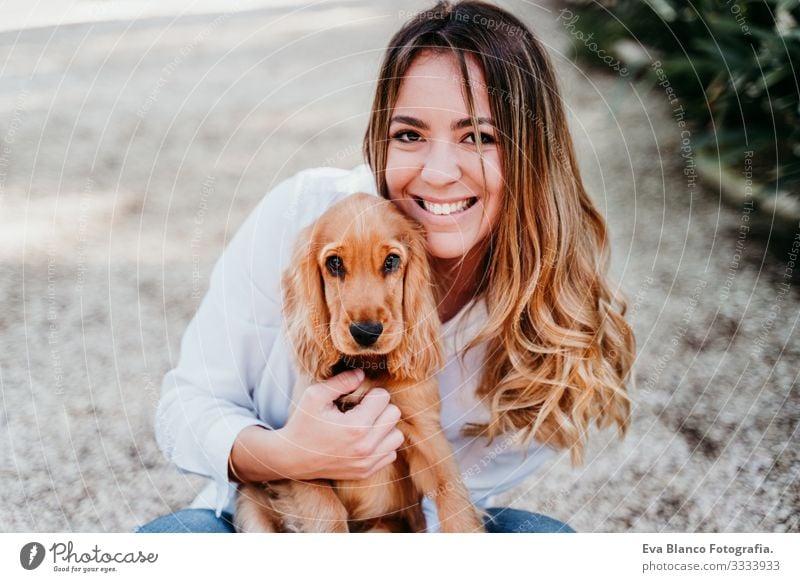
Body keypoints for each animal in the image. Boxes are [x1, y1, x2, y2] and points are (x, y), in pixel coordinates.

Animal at [234, 194, 484, 536]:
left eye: (391, 261)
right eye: (334, 263)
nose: (366, 332)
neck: (367, 369)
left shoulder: (426, 433)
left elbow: (453, 498)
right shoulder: (304, 454)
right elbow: (327, 514)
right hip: (251, 498)